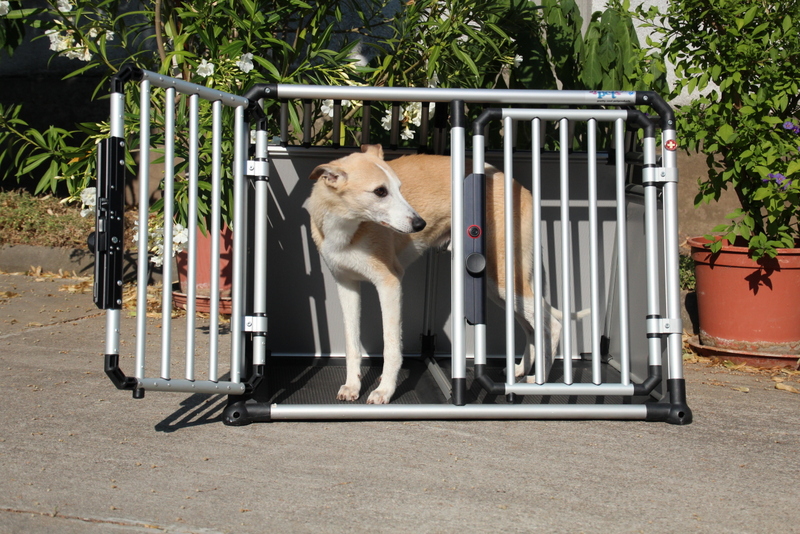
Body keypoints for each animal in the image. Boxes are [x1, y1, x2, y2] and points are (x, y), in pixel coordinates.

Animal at [306, 144, 568, 404]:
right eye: (380, 191)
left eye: (399, 188)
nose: (420, 224)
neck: (348, 228)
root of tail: (521, 189)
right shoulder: (346, 285)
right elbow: (351, 344)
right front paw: (352, 386)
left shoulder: (390, 284)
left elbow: (391, 346)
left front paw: (385, 390)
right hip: (500, 288)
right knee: (534, 326)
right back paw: (520, 370)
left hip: (504, 281)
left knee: (553, 324)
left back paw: (540, 382)